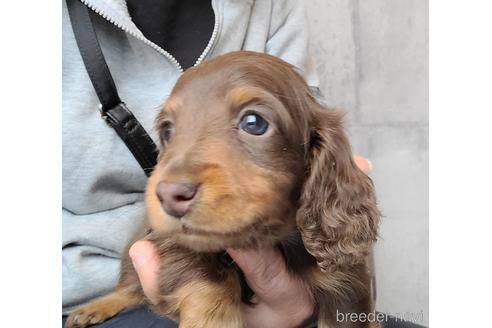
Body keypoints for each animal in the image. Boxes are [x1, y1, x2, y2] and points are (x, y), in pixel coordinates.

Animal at [65, 51, 380, 328]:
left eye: (254, 122)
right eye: (167, 130)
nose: (169, 196)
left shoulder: (346, 284)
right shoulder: (175, 241)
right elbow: (207, 280)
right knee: (130, 286)